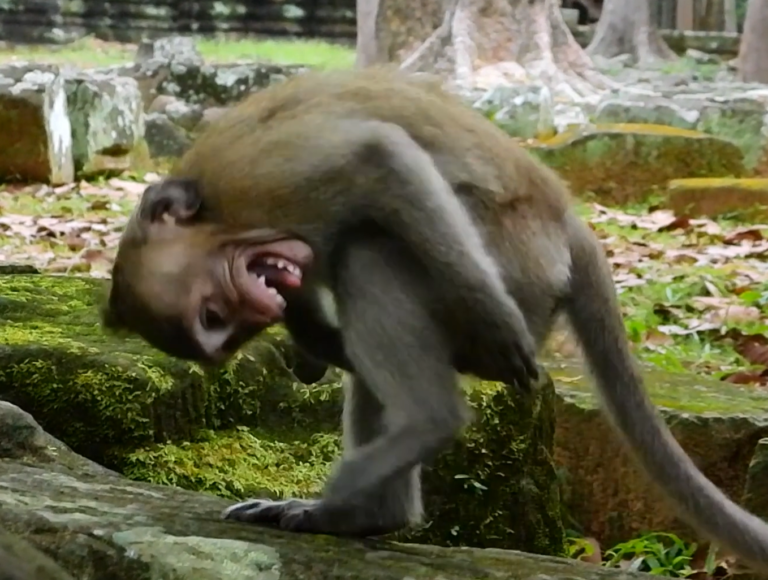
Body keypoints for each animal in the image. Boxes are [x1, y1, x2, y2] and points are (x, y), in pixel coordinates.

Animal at [102, 67, 768, 572]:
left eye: (218, 316)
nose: (254, 312)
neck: (221, 215)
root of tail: (566, 227)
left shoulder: (263, 178)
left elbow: (383, 157)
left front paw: (493, 323)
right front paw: (313, 345)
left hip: (518, 267)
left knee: (370, 253)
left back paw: (429, 421)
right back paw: (363, 515)